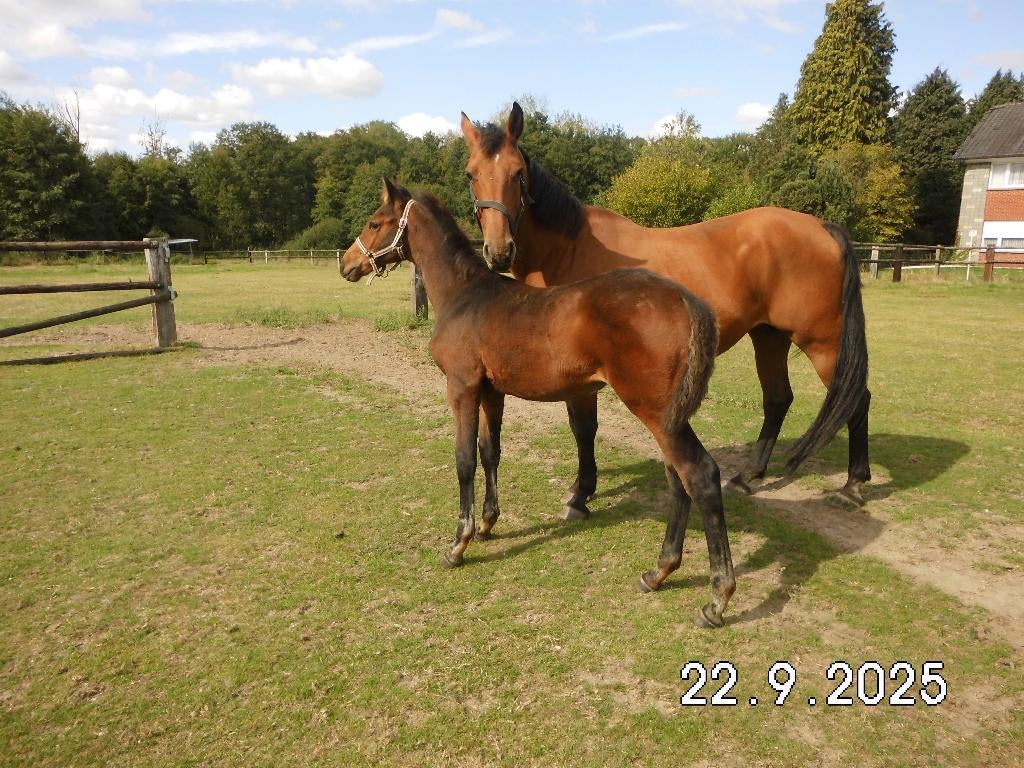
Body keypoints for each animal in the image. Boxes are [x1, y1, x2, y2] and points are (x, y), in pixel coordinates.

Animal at [340, 178, 735, 628]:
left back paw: (716, 599)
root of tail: (687, 300)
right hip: (666, 416)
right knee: (677, 479)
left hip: (656, 413)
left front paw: (459, 544)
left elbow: (464, 460)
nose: (347, 264)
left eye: (375, 223)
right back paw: (658, 573)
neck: (465, 296)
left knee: (699, 475)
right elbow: (490, 451)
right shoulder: (491, 391)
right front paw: (488, 524)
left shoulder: (461, 387)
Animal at [460, 102, 871, 515]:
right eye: (471, 174)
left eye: (518, 174)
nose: (499, 250)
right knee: (778, 400)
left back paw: (854, 483)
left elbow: (583, 428)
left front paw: (581, 495)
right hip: (769, 336)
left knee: (856, 398)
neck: (568, 249)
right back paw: (749, 476)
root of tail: (822, 226)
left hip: (823, 343)